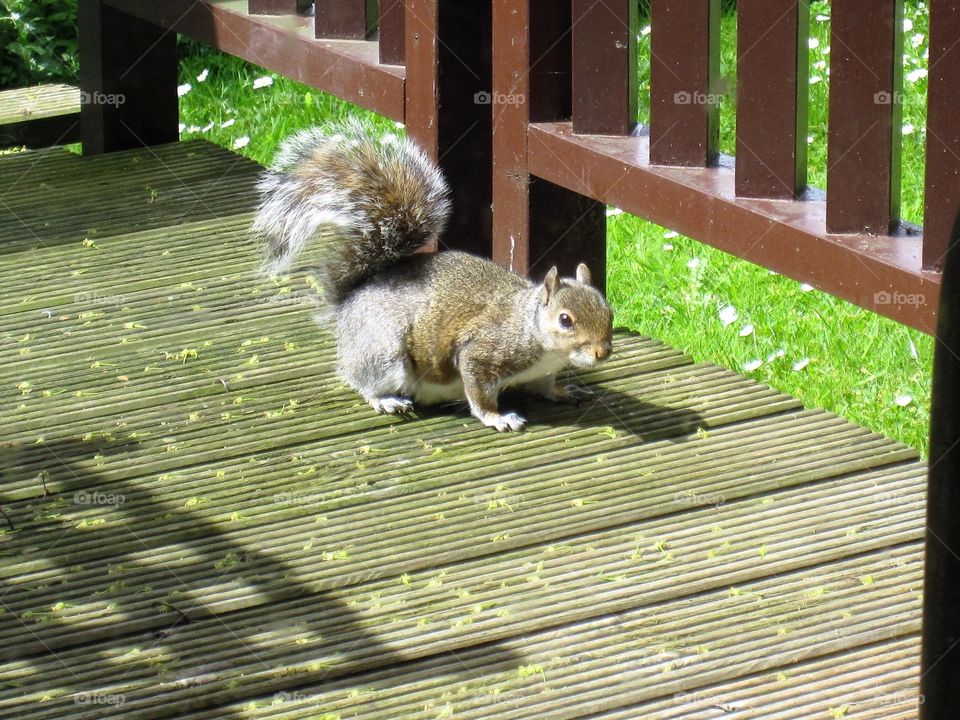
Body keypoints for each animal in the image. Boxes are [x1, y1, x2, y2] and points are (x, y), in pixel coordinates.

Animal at [253, 120, 616, 430]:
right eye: (565, 320)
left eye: (609, 312)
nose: (603, 352)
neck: (533, 331)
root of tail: (350, 301)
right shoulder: (480, 354)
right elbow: (479, 393)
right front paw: (497, 417)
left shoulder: (542, 372)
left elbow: (545, 387)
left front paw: (563, 393)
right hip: (384, 351)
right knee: (361, 381)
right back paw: (385, 400)